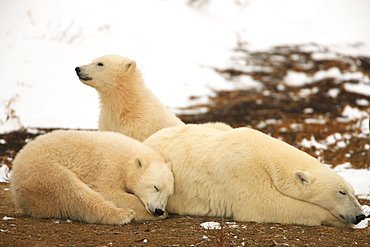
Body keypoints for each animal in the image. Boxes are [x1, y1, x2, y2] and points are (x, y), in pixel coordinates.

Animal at [10, 130, 175, 225]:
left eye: (169, 194)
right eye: (155, 187)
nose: (159, 210)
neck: (127, 158)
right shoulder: (108, 167)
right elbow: (108, 192)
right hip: (43, 171)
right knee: (72, 193)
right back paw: (123, 215)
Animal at [144, 124, 364, 227]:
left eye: (352, 191)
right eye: (341, 192)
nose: (360, 215)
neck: (267, 155)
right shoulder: (243, 170)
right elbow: (264, 204)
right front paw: (336, 219)